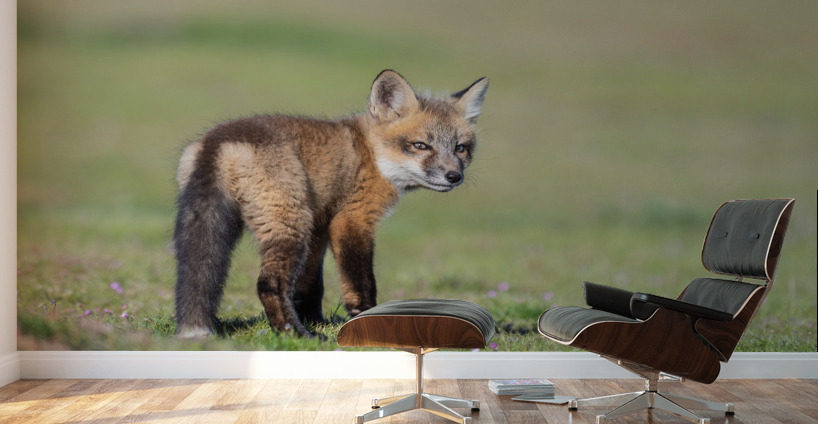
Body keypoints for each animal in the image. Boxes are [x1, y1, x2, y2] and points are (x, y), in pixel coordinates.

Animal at [173, 70, 489, 338]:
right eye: (421, 145)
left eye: (460, 148)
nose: (454, 176)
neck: (371, 155)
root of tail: (219, 140)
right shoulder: (353, 219)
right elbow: (360, 282)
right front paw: (366, 321)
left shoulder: (320, 226)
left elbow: (310, 285)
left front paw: (316, 321)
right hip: (290, 225)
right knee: (269, 284)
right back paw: (294, 333)